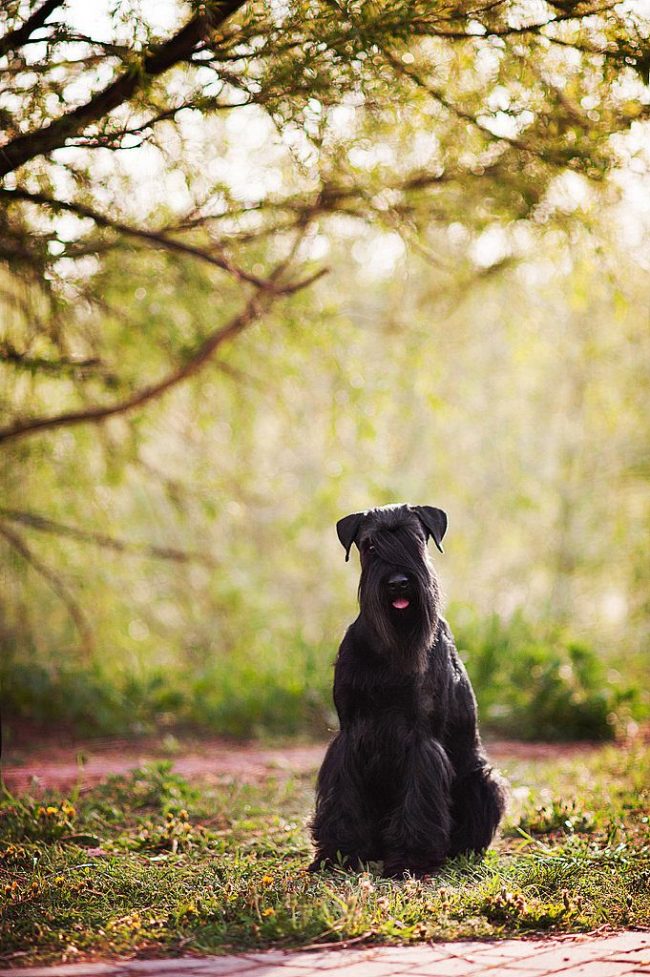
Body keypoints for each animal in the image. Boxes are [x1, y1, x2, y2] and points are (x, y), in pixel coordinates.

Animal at [310, 504, 506, 876]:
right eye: (370, 545)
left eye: (415, 540)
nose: (398, 583)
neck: (389, 646)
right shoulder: (349, 733)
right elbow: (343, 796)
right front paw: (338, 853)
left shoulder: (420, 737)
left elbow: (418, 800)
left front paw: (410, 858)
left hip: (483, 780)